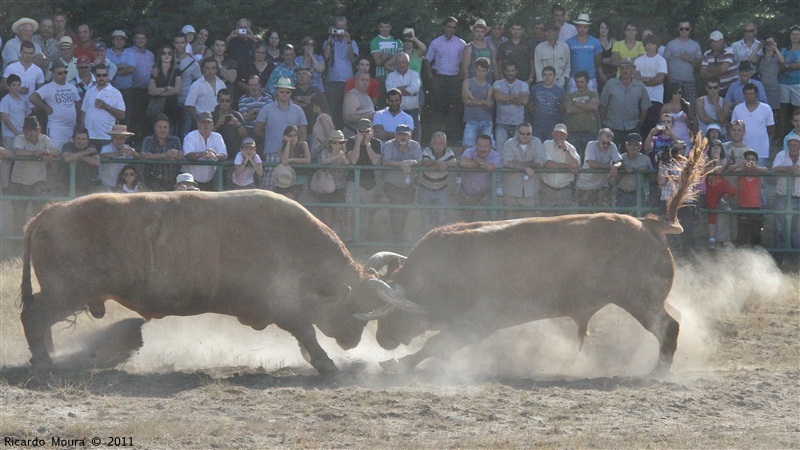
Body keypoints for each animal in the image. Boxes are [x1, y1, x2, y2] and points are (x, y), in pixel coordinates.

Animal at [21, 188, 416, 374]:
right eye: (356, 308)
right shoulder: (283, 306)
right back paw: (43, 360)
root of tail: (48, 213)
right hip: (65, 293)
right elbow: (306, 332)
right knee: (34, 317)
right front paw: (325, 363)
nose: (352, 342)